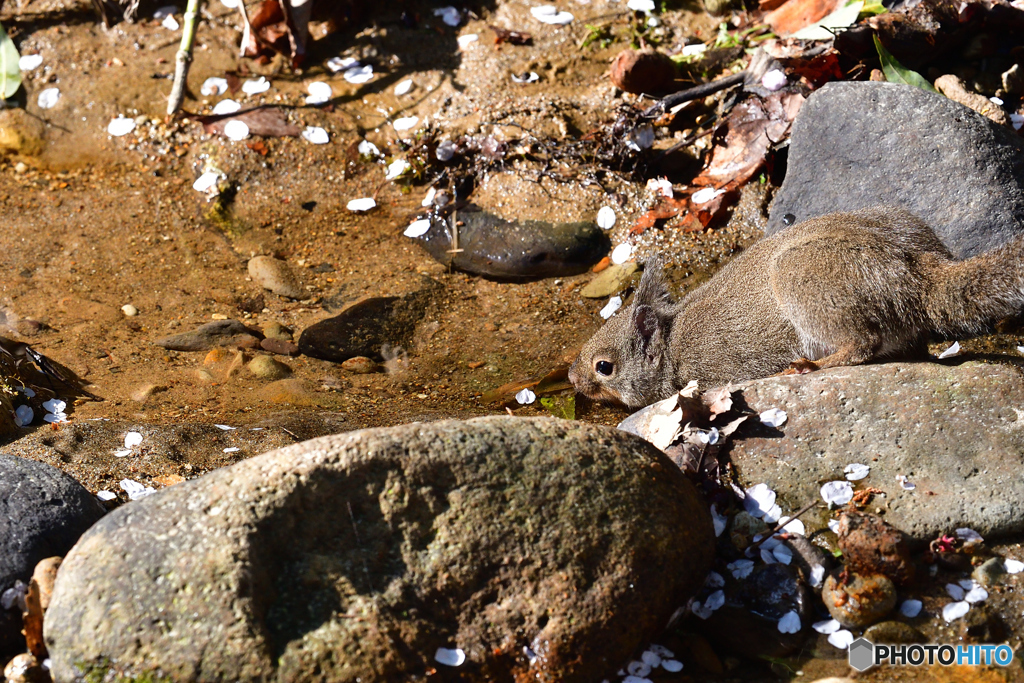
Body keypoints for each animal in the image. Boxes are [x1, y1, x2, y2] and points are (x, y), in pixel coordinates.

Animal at [573, 206, 1024, 411]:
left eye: (604, 367)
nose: (573, 379)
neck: (671, 345)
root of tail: (917, 270)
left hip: (802, 282)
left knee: (862, 344)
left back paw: (810, 367)